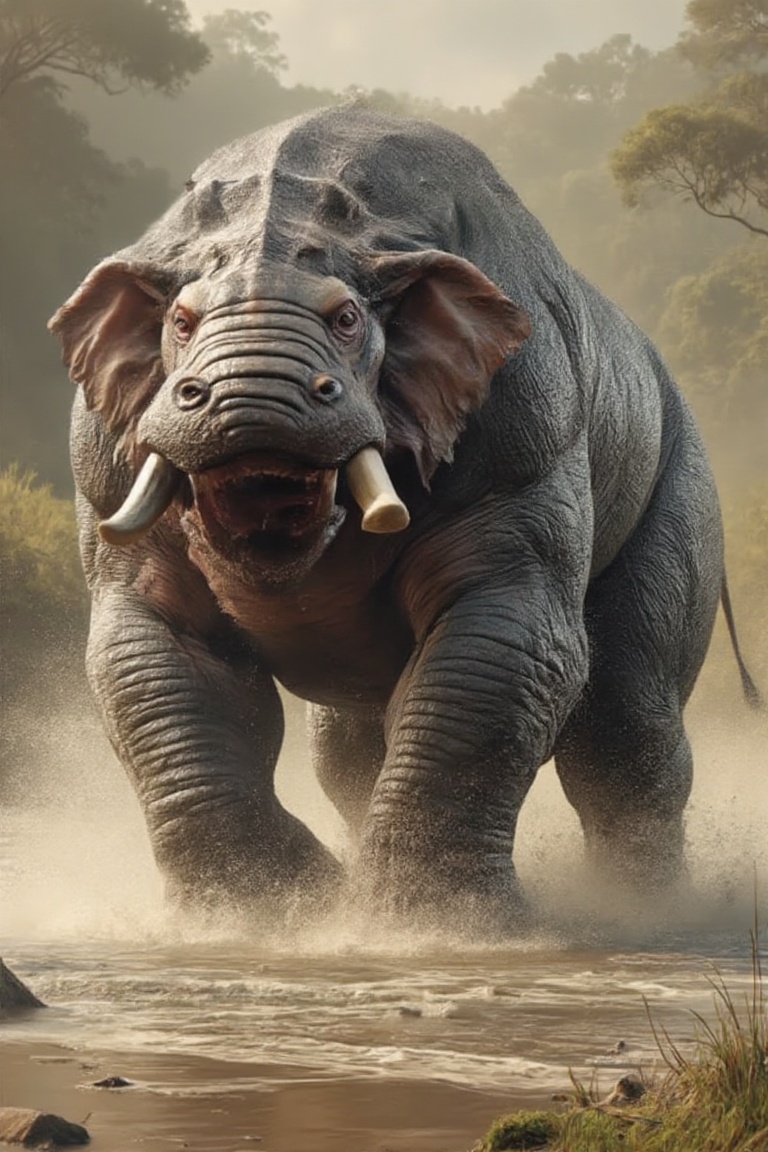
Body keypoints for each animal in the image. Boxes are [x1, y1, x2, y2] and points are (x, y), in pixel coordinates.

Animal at [49, 105, 756, 935]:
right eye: (182, 322)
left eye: (349, 319)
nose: (242, 400)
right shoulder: (109, 473)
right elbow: (159, 672)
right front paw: (268, 919)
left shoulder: (521, 439)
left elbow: (501, 651)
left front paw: (433, 929)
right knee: (347, 749)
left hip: (677, 449)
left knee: (624, 715)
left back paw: (648, 915)